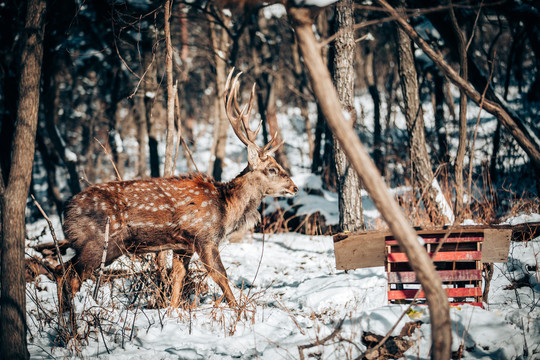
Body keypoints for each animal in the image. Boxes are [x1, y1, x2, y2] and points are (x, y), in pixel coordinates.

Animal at [59, 69, 300, 310]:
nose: (295, 187)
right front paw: (238, 309)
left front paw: (173, 310)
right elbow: (220, 276)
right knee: (68, 275)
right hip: (99, 242)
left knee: (61, 270)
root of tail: (66, 211)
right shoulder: (205, 237)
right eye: (272, 169)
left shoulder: (183, 246)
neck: (227, 209)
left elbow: (177, 278)